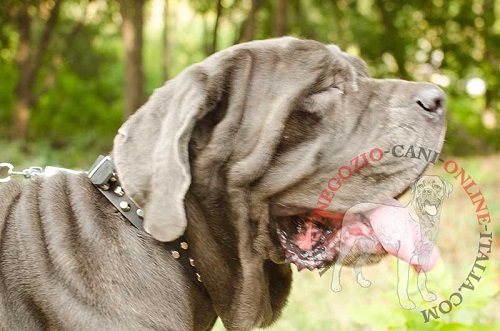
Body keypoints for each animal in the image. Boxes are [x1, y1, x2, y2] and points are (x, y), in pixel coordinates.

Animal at [330, 176, 452, 312]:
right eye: (420, 186)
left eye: (436, 186)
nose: (426, 192)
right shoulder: (405, 259)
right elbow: (403, 284)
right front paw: (406, 303)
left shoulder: (425, 258)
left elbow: (422, 279)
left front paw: (426, 296)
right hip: (349, 247)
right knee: (338, 266)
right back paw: (335, 286)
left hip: (367, 247)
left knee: (358, 264)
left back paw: (362, 281)